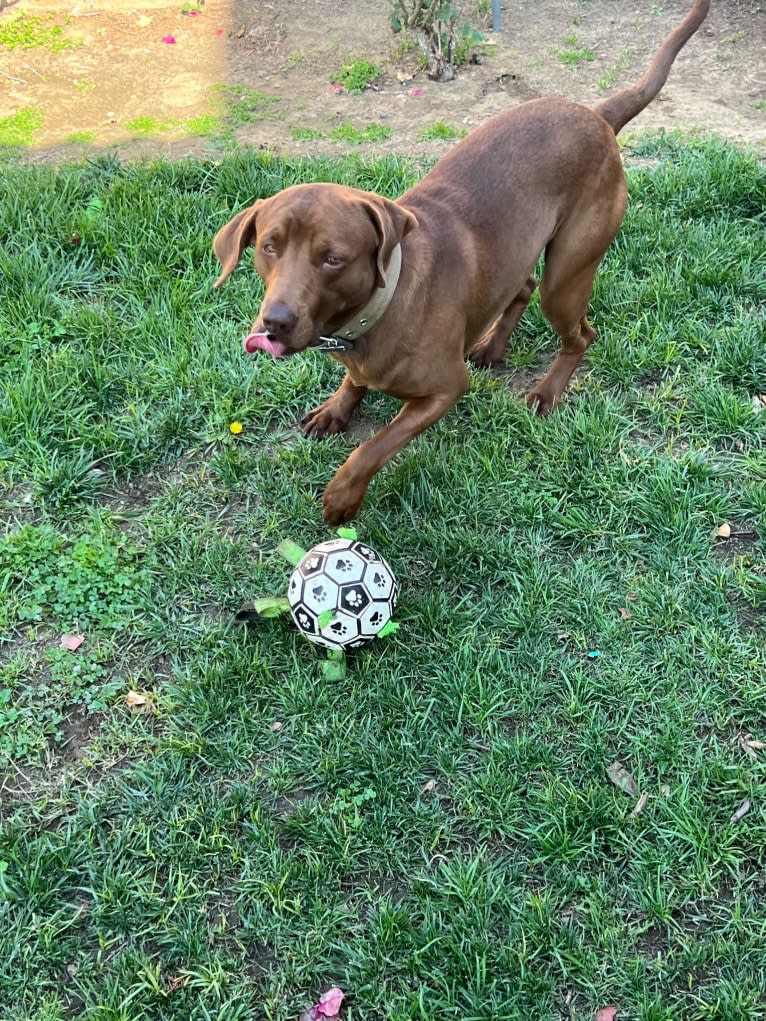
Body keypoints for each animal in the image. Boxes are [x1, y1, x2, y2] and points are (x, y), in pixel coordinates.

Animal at [213, 0, 710, 522]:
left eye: (333, 259)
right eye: (269, 247)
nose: (275, 322)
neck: (376, 310)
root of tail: (595, 114)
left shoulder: (445, 390)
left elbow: (376, 445)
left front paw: (342, 495)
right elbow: (355, 383)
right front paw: (336, 408)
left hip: (568, 274)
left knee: (580, 333)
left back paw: (547, 392)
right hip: (518, 252)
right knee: (522, 287)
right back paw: (493, 345)